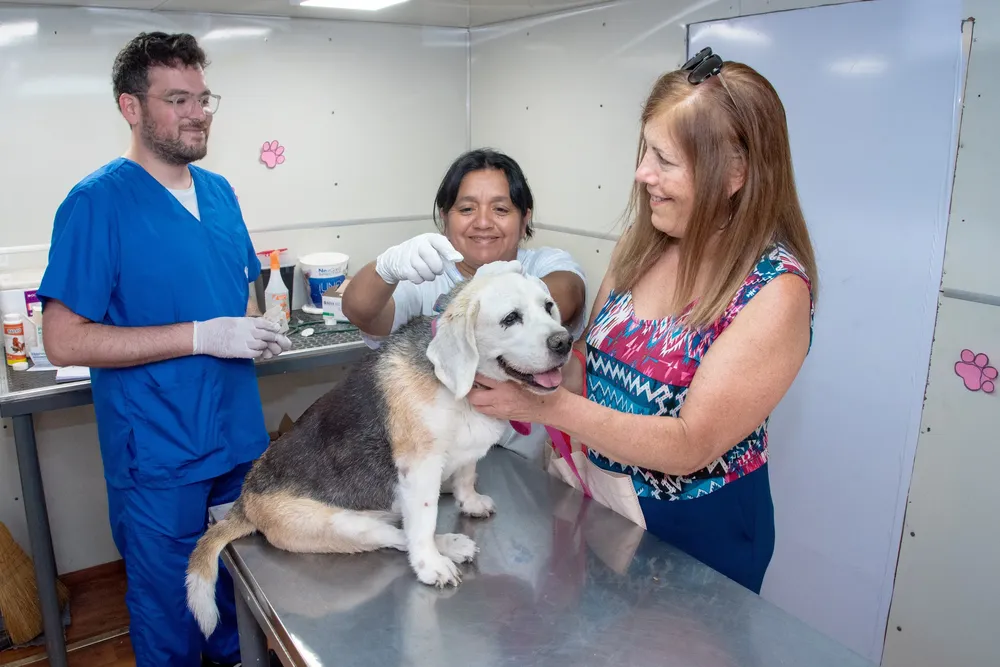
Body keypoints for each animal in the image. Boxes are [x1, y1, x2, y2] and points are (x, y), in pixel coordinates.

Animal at [182, 260, 572, 636]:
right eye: (510, 318)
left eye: (549, 306)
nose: (564, 342)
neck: (458, 388)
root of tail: (246, 500)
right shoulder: (420, 468)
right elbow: (423, 523)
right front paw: (430, 565)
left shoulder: (464, 452)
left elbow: (466, 475)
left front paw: (470, 501)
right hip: (342, 527)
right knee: (402, 536)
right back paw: (447, 547)